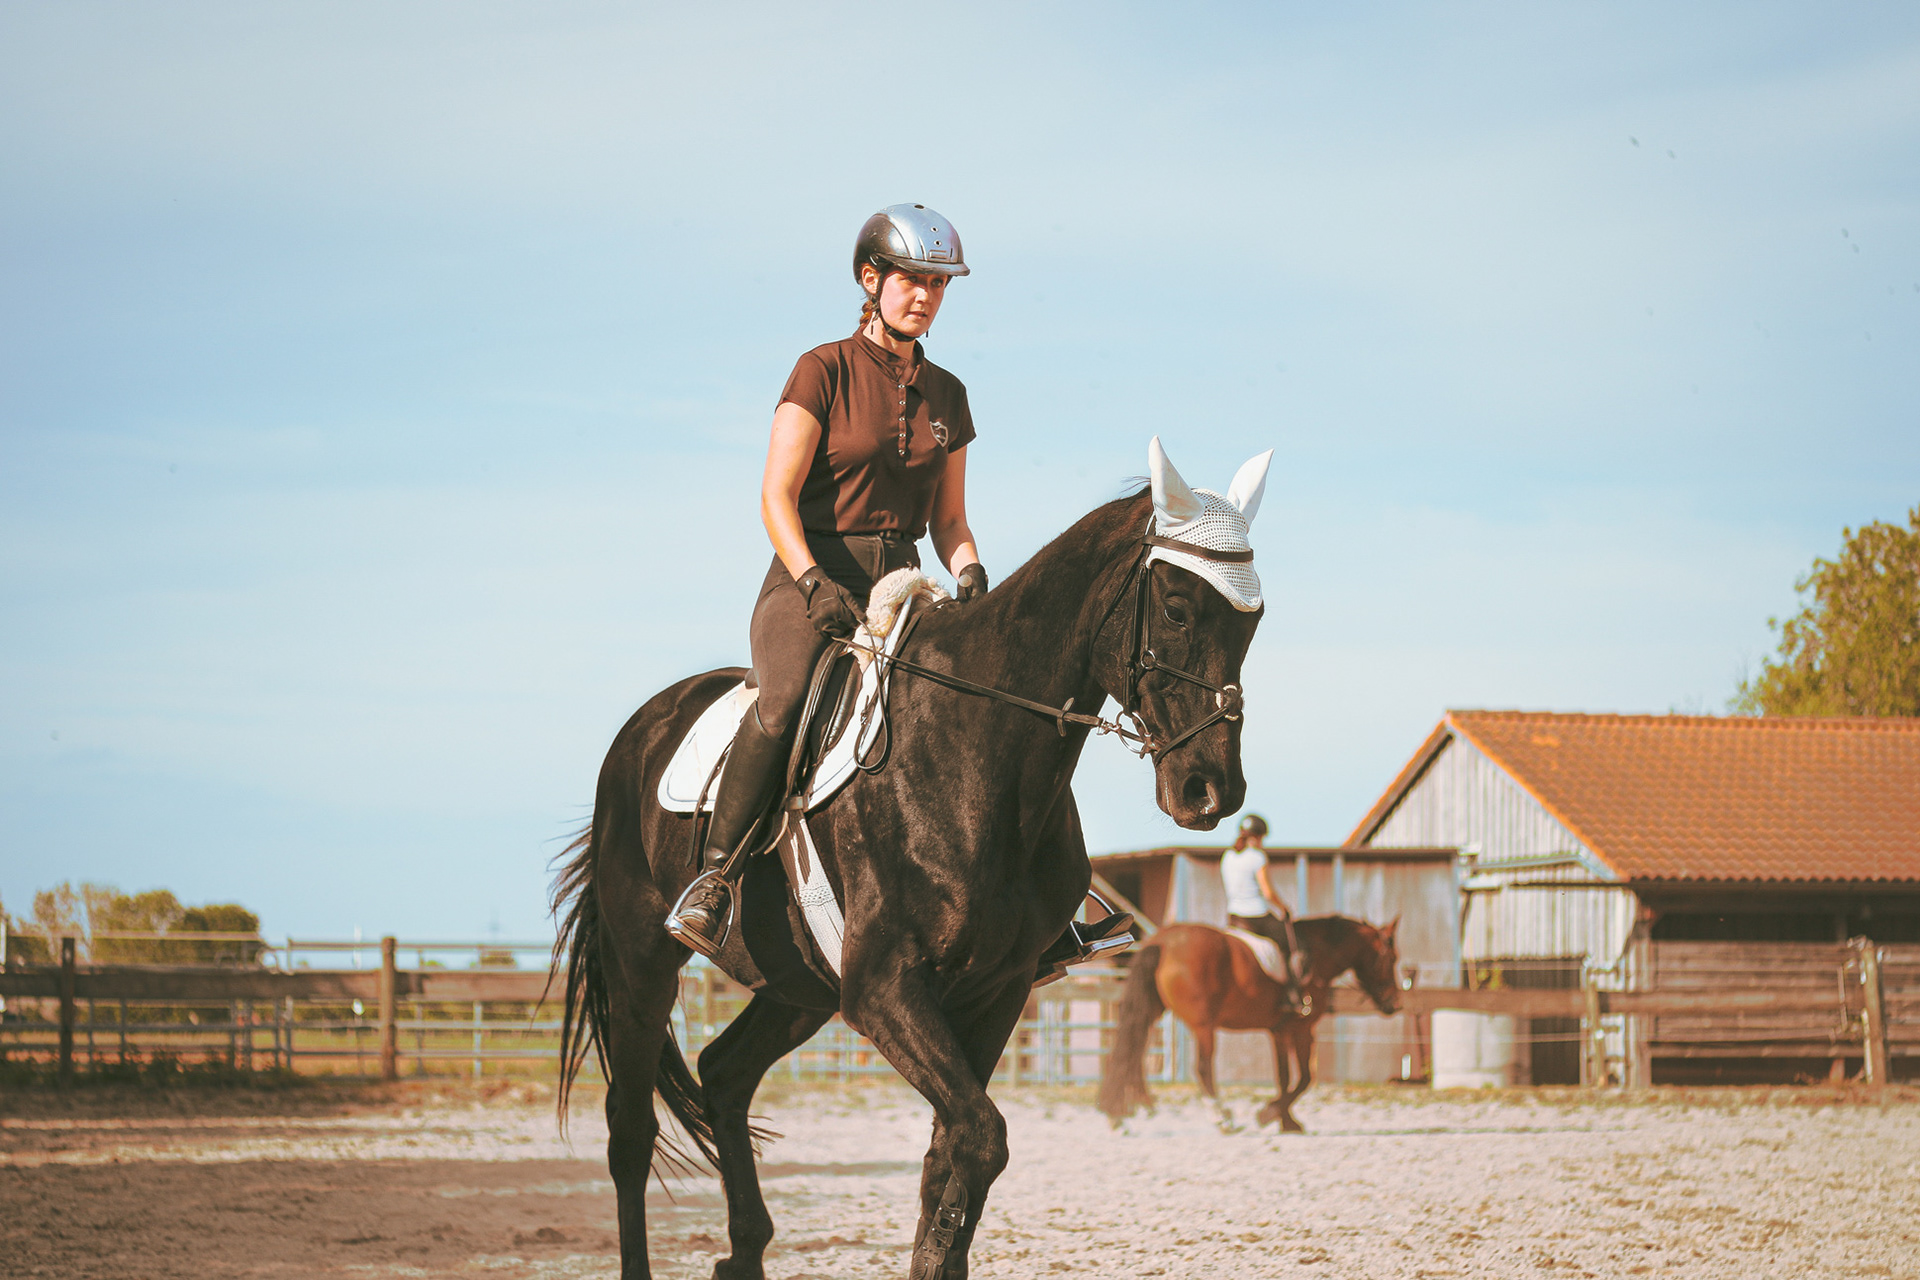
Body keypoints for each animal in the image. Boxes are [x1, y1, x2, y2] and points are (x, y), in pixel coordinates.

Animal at [550, 461, 1268, 1279]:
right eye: (1177, 607)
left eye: (1253, 621)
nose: (1211, 791)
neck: (977, 748)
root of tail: (643, 729)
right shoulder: (885, 989)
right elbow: (980, 1139)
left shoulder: (995, 990)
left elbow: (951, 1157)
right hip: (643, 965)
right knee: (631, 1132)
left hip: (800, 988)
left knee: (725, 1073)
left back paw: (744, 1253)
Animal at [1097, 915, 1402, 1134]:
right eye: (1390, 958)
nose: (1395, 1004)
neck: (1319, 955)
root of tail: (1163, 941)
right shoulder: (1302, 1029)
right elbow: (1305, 1078)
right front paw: (1268, 1114)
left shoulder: (1279, 1031)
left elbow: (1284, 1076)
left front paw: (1286, 1121)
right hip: (1203, 1026)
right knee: (1203, 1069)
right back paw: (1222, 1118)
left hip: (1151, 1009)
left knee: (1131, 1053)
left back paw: (1121, 1114)